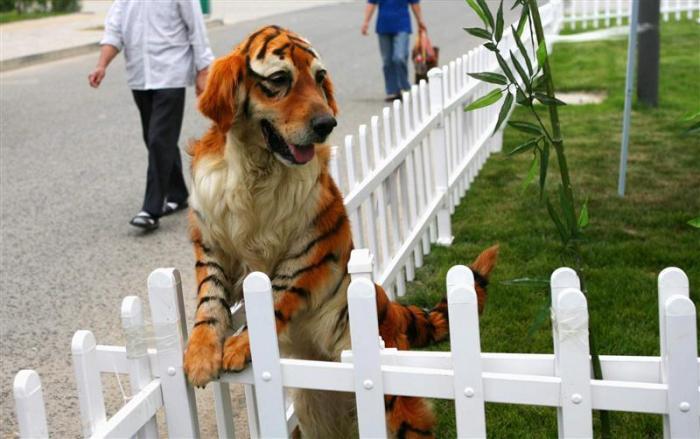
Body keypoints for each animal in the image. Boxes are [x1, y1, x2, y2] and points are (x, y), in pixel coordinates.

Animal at [182, 25, 499, 438]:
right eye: (279, 80)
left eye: (319, 78)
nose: (326, 124)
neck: (257, 171)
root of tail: (387, 305)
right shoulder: (212, 243)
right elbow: (209, 300)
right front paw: (200, 354)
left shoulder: (311, 247)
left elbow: (276, 295)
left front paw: (240, 344)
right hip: (314, 408)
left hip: (393, 403)